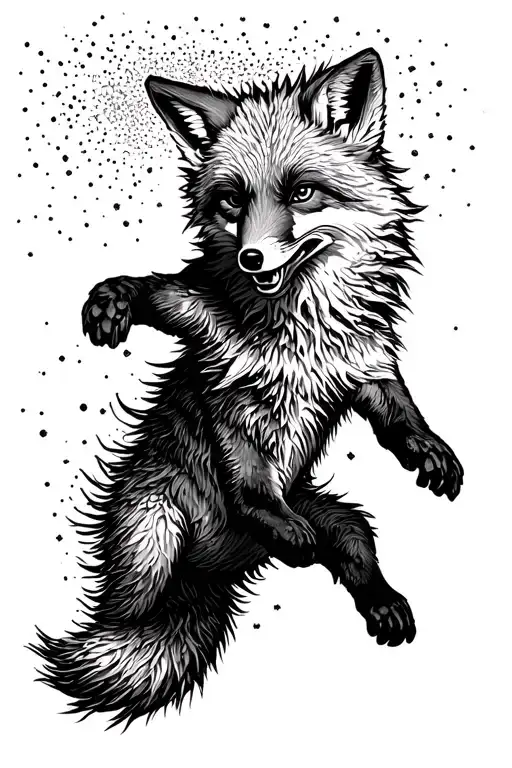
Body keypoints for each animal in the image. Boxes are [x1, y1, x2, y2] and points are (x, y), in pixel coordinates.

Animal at [31, 48, 463, 728]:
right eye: (232, 201)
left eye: (302, 192)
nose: (251, 260)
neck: (302, 327)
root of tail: (222, 568)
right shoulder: (217, 364)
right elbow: (246, 476)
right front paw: (110, 303)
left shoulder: (364, 366)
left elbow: (400, 414)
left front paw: (430, 451)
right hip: (154, 530)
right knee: (127, 613)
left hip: (340, 519)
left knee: (353, 551)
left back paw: (379, 599)